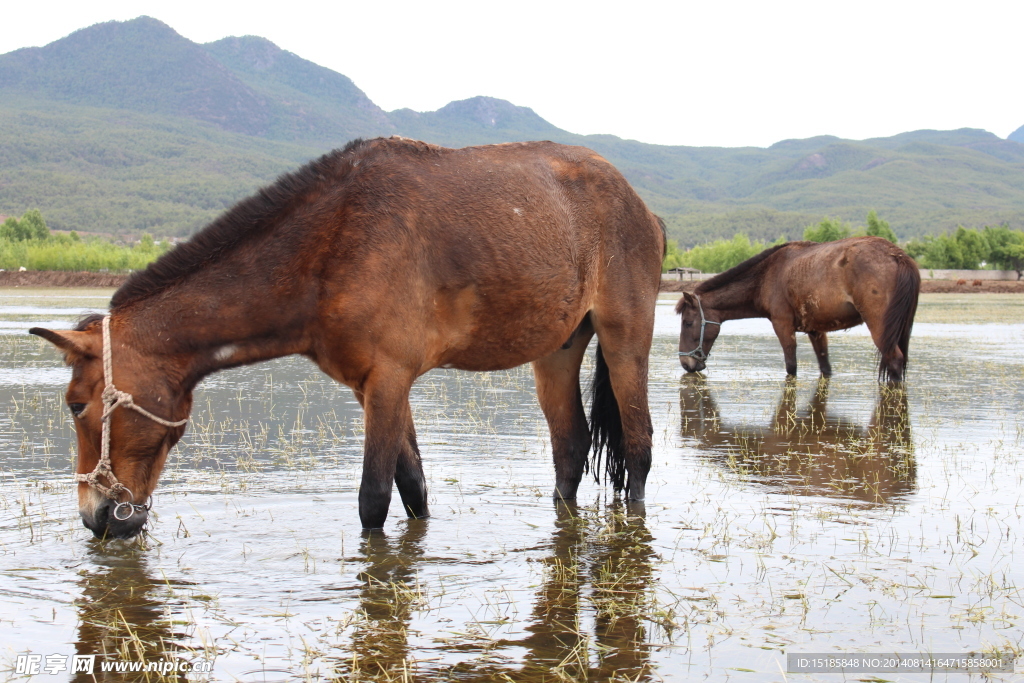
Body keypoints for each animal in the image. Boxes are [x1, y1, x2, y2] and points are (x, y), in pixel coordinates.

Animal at [28, 136, 663, 540]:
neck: (331, 243)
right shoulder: (372, 387)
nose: (97, 516)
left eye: (77, 405)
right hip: (556, 352)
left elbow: (374, 498)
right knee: (570, 449)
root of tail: (642, 206)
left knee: (637, 448)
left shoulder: (389, 379)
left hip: (625, 341)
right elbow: (414, 489)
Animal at [679, 237, 921, 382]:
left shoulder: (783, 326)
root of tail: (897, 255)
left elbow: (791, 366)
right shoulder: (816, 331)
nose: (685, 363)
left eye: (688, 322)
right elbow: (825, 367)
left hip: (880, 328)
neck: (766, 276)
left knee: (895, 361)